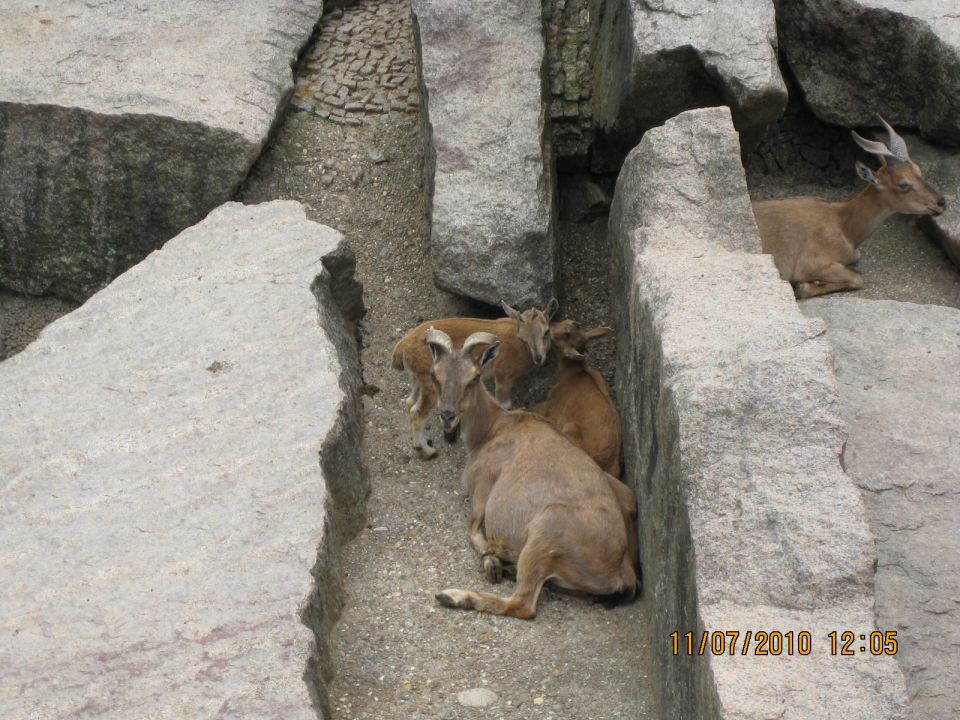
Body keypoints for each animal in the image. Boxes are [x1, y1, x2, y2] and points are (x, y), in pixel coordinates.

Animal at [390, 300, 560, 458]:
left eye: (546, 331)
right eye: (522, 337)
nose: (539, 358)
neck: (520, 348)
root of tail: (402, 347)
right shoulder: (503, 376)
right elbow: (505, 404)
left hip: (417, 379)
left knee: (410, 403)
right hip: (429, 385)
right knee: (417, 413)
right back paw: (427, 450)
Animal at [540, 320, 624, 478]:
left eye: (566, 333)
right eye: (571, 322)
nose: (550, 325)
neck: (574, 373)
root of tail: (610, 468)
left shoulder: (552, 406)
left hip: (569, 429)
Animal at [752, 116, 944, 296]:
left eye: (919, 171)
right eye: (903, 184)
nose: (941, 202)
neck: (843, 225)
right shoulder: (810, 263)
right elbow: (857, 279)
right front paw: (803, 287)